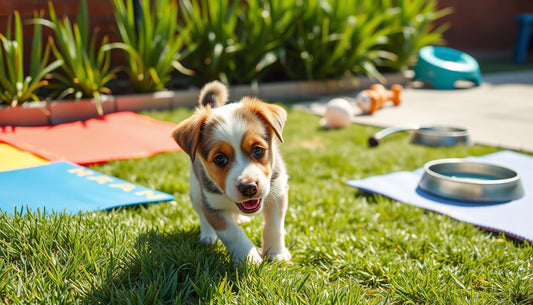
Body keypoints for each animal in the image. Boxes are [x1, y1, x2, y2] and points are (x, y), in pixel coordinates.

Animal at [172, 81, 290, 264]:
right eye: (220, 159)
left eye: (258, 150)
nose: (248, 188)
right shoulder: (212, 207)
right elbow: (234, 234)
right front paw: (250, 259)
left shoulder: (278, 193)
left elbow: (274, 227)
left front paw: (276, 253)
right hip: (196, 193)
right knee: (202, 215)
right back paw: (208, 236)